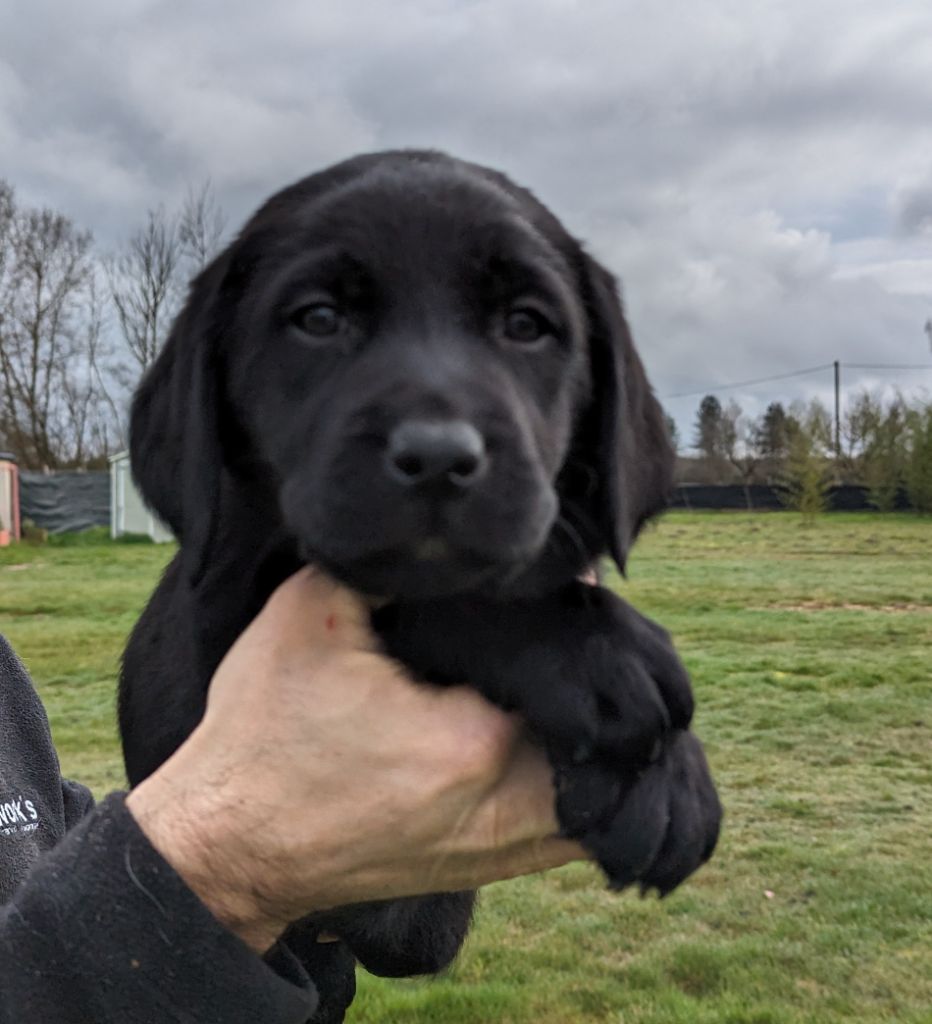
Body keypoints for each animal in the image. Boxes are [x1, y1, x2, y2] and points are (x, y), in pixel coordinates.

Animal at [120, 150, 721, 1020]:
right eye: (319, 319)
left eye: (527, 325)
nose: (439, 457)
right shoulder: (229, 599)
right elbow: (434, 594)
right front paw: (600, 663)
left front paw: (669, 776)